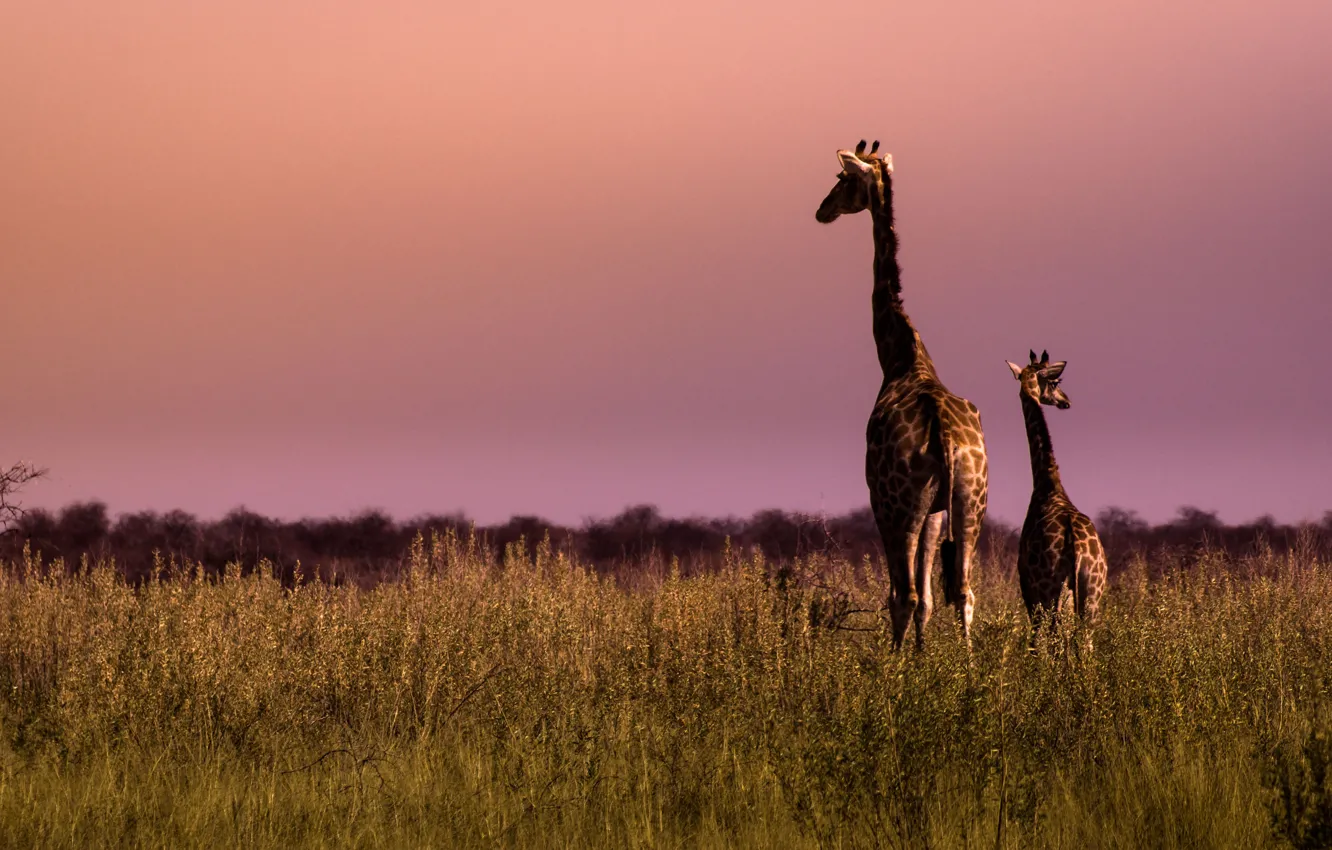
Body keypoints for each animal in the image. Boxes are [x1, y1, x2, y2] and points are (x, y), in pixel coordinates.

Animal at [816, 141, 989, 649]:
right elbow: (932, 599)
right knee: (964, 592)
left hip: (901, 504)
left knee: (907, 595)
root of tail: (947, 440)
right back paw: (972, 669)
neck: (899, 356)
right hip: (970, 501)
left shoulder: (881, 500)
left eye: (842, 178)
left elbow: (905, 595)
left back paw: (894, 668)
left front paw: (908, 661)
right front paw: (923, 656)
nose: (821, 210)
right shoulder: (935, 510)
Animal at [1006, 350, 1107, 636]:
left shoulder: (1028, 588)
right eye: (1055, 383)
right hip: (1091, 595)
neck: (1048, 484)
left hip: (1050, 592)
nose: (1066, 401)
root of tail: (1077, 547)